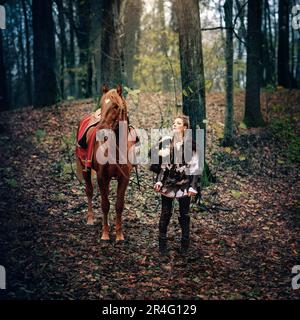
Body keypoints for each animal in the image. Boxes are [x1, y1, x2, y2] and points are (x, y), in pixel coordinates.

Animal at [77, 84, 138, 240]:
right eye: (101, 103)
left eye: (116, 106)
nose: (101, 131)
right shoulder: (101, 176)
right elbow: (105, 204)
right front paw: (105, 234)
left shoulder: (124, 178)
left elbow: (118, 205)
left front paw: (119, 235)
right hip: (85, 169)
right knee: (89, 191)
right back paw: (90, 219)